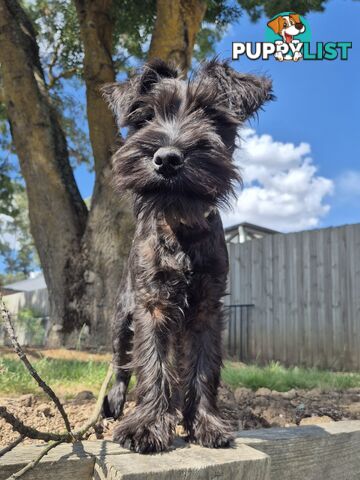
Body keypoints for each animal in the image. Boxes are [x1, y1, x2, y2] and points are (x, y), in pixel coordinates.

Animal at [100, 59, 272, 454]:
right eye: (145, 116)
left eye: (210, 114)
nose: (167, 158)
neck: (181, 227)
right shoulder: (152, 306)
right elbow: (152, 364)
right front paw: (147, 426)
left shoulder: (207, 309)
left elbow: (202, 369)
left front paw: (204, 424)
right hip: (121, 319)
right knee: (121, 364)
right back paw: (115, 403)